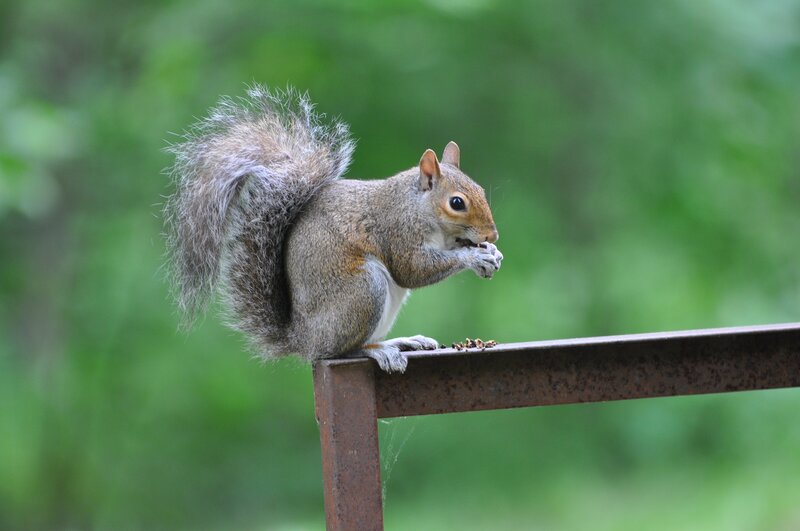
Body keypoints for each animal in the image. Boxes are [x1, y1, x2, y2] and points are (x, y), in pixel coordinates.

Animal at [164, 85, 503, 372]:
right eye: (456, 202)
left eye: (481, 191)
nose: (492, 235)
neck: (417, 206)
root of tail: (303, 339)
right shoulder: (397, 231)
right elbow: (412, 269)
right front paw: (474, 257)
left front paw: (491, 253)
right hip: (364, 291)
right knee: (339, 351)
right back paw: (378, 351)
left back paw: (400, 341)